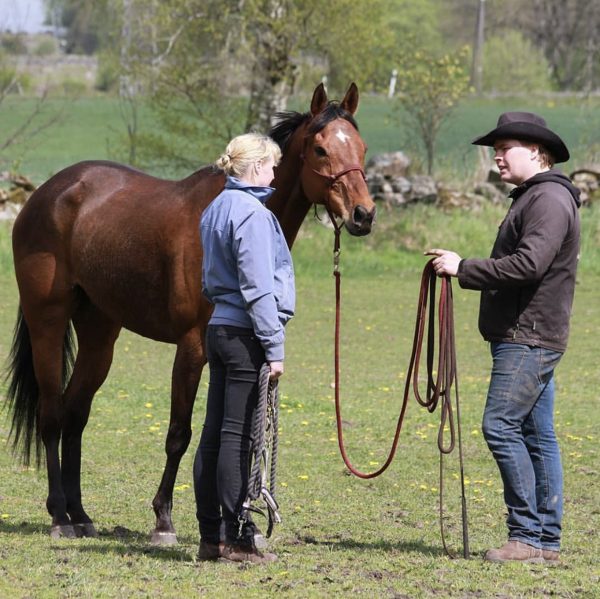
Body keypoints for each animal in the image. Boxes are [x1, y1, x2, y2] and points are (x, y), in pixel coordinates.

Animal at [5, 79, 376, 544]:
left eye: (361, 148)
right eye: (322, 149)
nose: (364, 215)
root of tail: (47, 193)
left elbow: (235, 435)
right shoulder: (192, 347)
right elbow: (179, 434)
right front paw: (163, 520)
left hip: (99, 334)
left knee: (75, 414)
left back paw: (80, 514)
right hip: (48, 322)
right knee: (52, 414)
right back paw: (59, 517)